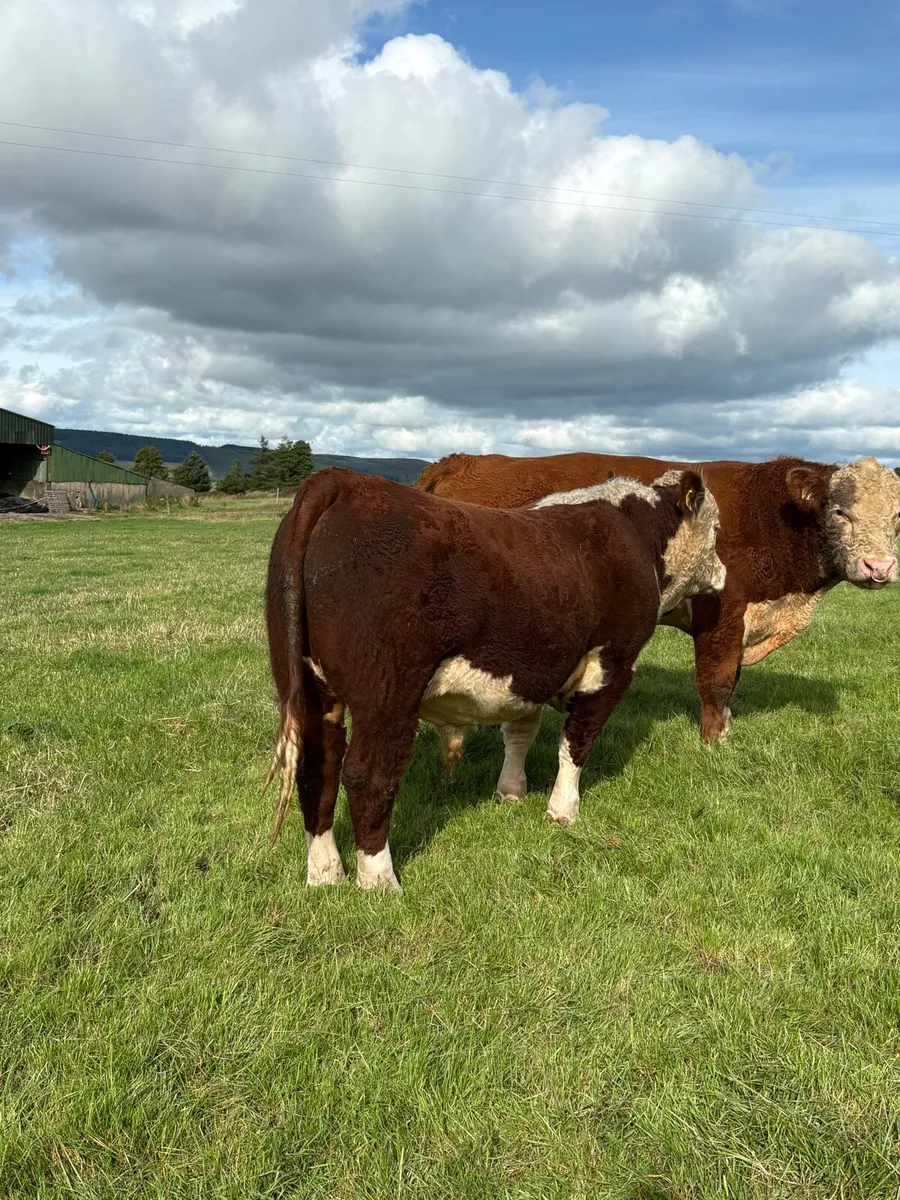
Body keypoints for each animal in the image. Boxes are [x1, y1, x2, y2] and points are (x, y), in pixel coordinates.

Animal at [265, 466, 725, 889]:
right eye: (718, 528)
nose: (723, 573)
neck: (635, 534)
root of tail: (342, 481)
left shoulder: (530, 671)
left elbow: (520, 732)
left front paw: (511, 791)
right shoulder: (611, 665)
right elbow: (576, 744)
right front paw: (563, 811)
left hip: (310, 690)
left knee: (317, 768)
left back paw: (326, 874)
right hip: (387, 695)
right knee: (367, 775)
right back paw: (380, 881)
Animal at [418, 452, 900, 744]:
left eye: (897, 517)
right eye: (839, 512)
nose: (879, 567)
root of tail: (463, 461)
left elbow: (732, 681)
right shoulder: (722, 614)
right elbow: (716, 682)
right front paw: (713, 743)